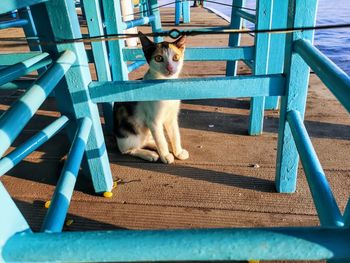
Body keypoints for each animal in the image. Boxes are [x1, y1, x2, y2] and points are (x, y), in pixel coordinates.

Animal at [112, 32, 189, 165]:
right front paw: (165, 156)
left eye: (175, 58)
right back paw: (149, 154)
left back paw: (153, 145)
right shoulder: (153, 121)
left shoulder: (171, 118)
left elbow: (175, 135)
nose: (170, 68)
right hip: (130, 134)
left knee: (148, 140)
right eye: (158, 58)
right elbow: (161, 140)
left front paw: (178, 152)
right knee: (128, 150)